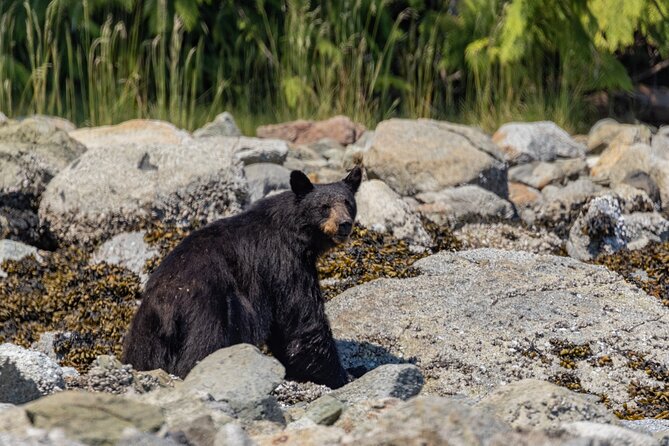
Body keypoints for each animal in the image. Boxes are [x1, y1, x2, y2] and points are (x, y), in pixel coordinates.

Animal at [120, 166, 360, 388]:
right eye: (324, 207)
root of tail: (167, 305)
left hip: (147, 333)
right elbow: (302, 319)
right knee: (203, 347)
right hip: (208, 310)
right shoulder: (284, 262)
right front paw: (343, 375)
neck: (295, 229)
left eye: (348, 203)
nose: (344, 224)